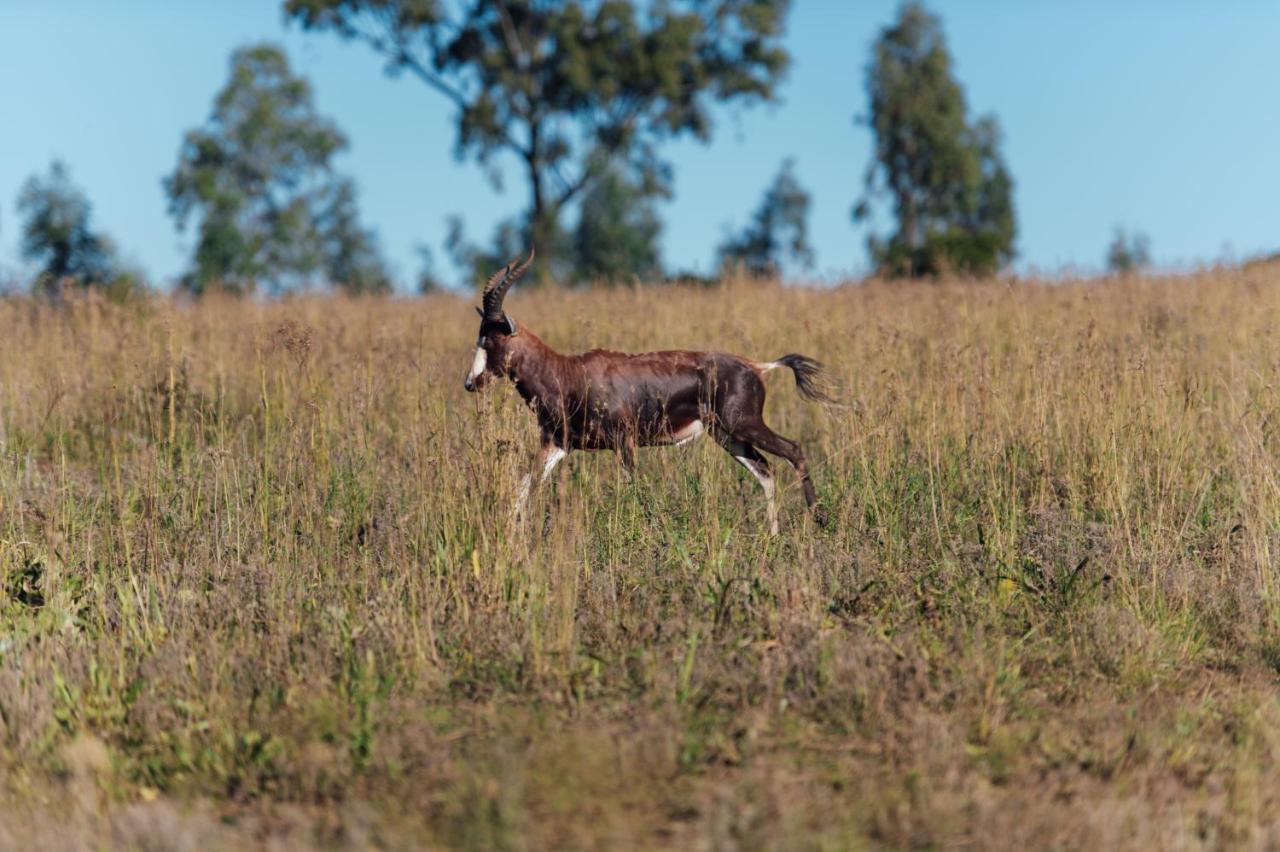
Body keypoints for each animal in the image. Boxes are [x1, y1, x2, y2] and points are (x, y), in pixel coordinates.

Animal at [465, 249, 834, 534]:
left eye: (490, 340)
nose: (471, 383)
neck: (568, 374)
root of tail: (757, 366)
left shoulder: (624, 442)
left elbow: (634, 489)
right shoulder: (558, 444)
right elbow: (524, 488)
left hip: (743, 424)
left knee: (793, 450)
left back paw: (818, 521)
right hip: (727, 435)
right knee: (766, 471)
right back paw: (772, 535)